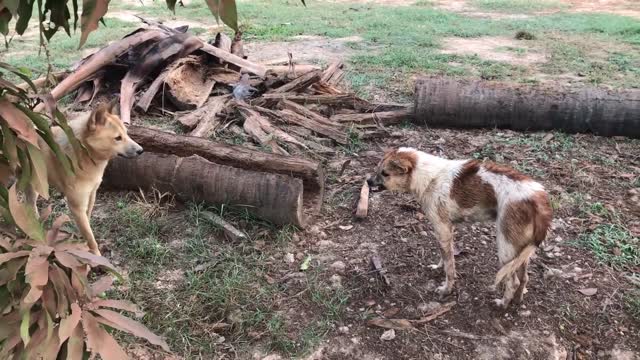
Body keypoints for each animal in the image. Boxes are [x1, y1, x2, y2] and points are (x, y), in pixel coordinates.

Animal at [39, 100, 142, 255]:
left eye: (126, 134)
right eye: (118, 138)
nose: (141, 150)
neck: (84, 153)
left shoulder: (91, 195)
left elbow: (87, 225)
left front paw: (83, 242)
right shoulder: (76, 206)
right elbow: (90, 236)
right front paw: (96, 255)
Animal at [368, 148, 552, 308]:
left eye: (385, 173)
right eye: (378, 169)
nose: (367, 181)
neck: (428, 177)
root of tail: (538, 198)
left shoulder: (442, 228)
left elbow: (450, 268)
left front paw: (446, 289)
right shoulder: (446, 231)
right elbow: (445, 257)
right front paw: (438, 267)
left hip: (506, 247)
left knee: (513, 281)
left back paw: (503, 304)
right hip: (520, 251)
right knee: (524, 278)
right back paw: (517, 300)